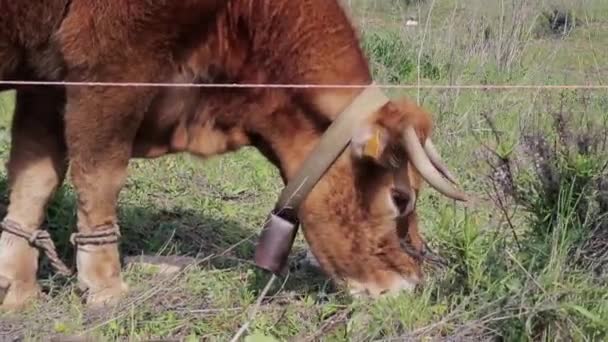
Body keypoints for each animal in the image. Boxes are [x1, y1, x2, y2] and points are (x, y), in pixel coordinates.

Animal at [0, 0, 466, 310]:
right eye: (400, 198)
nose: (411, 285)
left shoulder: (46, 87)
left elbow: (34, 178)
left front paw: (17, 289)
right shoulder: (112, 64)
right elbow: (100, 176)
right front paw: (106, 290)